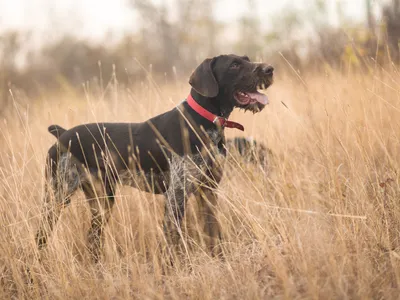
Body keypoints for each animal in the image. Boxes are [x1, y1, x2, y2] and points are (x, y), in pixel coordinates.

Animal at [36, 54, 274, 260]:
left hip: (101, 201)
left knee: (93, 239)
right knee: (41, 236)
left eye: (247, 59)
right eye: (234, 65)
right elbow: (172, 243)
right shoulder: (176, 195)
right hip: (57, 196)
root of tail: (63, 134)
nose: (269, 69)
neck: (204, 122)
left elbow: (213, 234)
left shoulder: (208, 191)